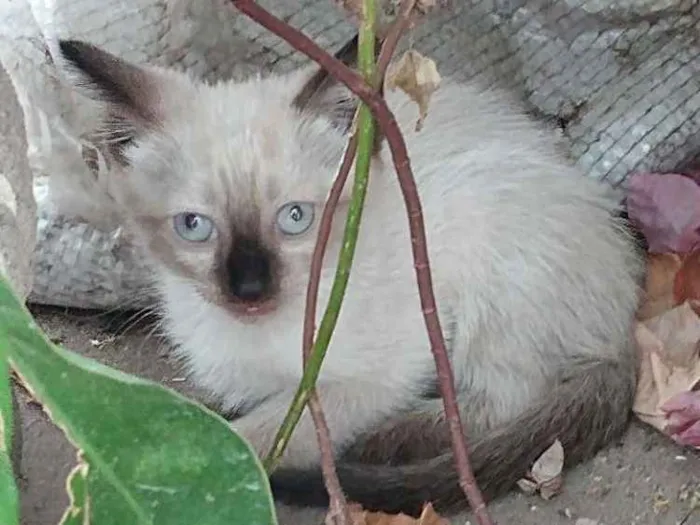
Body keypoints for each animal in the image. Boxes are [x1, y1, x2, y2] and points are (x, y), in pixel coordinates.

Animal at [57, 33, 644, 516]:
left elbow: (253, 436)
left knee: (498, 408)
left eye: (295, 217)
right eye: (194, 226)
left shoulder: (377, 371)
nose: (249, 288)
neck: (256, 337)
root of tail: (626, 324)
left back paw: (378, 443)